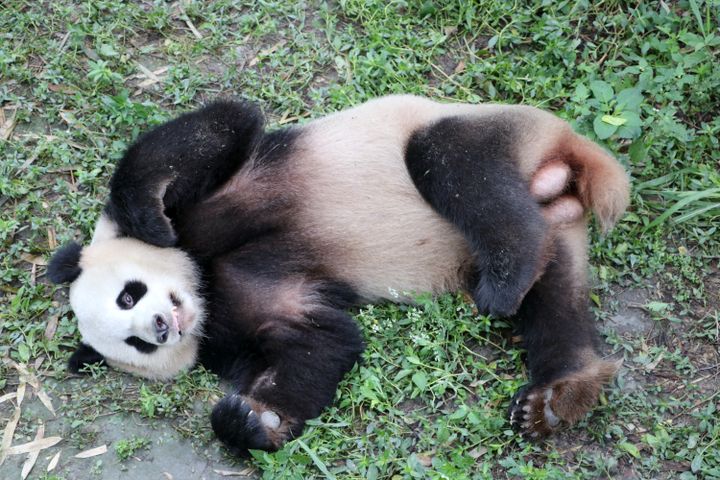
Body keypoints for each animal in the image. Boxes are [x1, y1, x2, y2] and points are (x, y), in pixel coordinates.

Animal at [47, 94, 628, 454]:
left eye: (127, 296)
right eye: (136, 344)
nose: (163, 327)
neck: (204, 279)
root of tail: (564, 173)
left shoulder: (211, 198)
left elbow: (209, 131)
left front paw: (150, 219)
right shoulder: (238, 317)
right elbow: (323, 342)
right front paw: (251, 420)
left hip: (488, 127)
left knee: (450, 161)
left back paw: (507, 276)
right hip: (562, 230)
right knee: (555, 302)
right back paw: (558, 395)